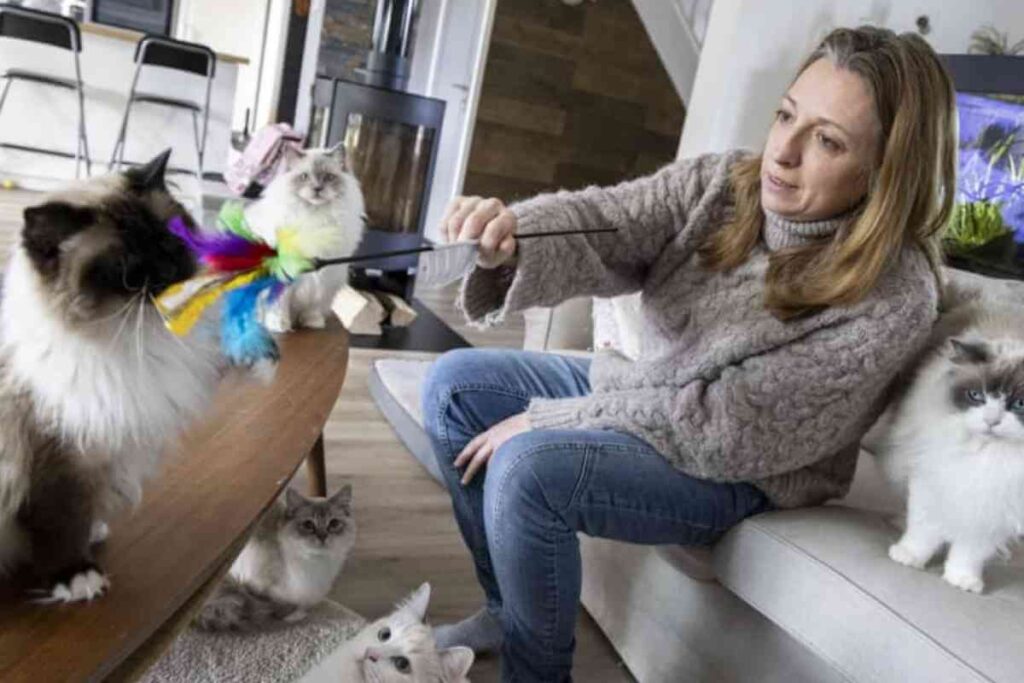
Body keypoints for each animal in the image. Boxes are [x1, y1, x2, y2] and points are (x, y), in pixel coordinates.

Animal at [0, 150, 224, 602]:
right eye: (129, 269)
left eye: (170, 242)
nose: (171, 270)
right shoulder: (58, 461)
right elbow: (60, 524)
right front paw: (75, 577)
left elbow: (83, 515)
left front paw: (94, 532)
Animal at [195, 485, 356, 630]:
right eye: (308, 525)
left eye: (334, 523)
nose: (323, 537)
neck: (315, 563)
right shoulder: (254, 584)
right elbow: (276, 604)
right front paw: (293, 616)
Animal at [243, 144, 364, 333]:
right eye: (304, 177)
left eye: (329, 177)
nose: (317, 188)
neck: (314, 216)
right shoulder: (284, 275)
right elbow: (279, 304)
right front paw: (279, 326)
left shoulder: (323, 275)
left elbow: (313, 306)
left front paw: (313, 323)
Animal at [876, 299, 1024, 593]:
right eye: (976, 396)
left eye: (1019, 405)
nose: (992, 421)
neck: (988, 456)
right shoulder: (933, 479)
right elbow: (923, 529)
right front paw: (908, 557)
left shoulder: (994, 507)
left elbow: (970, 552)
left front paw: (962, 580)